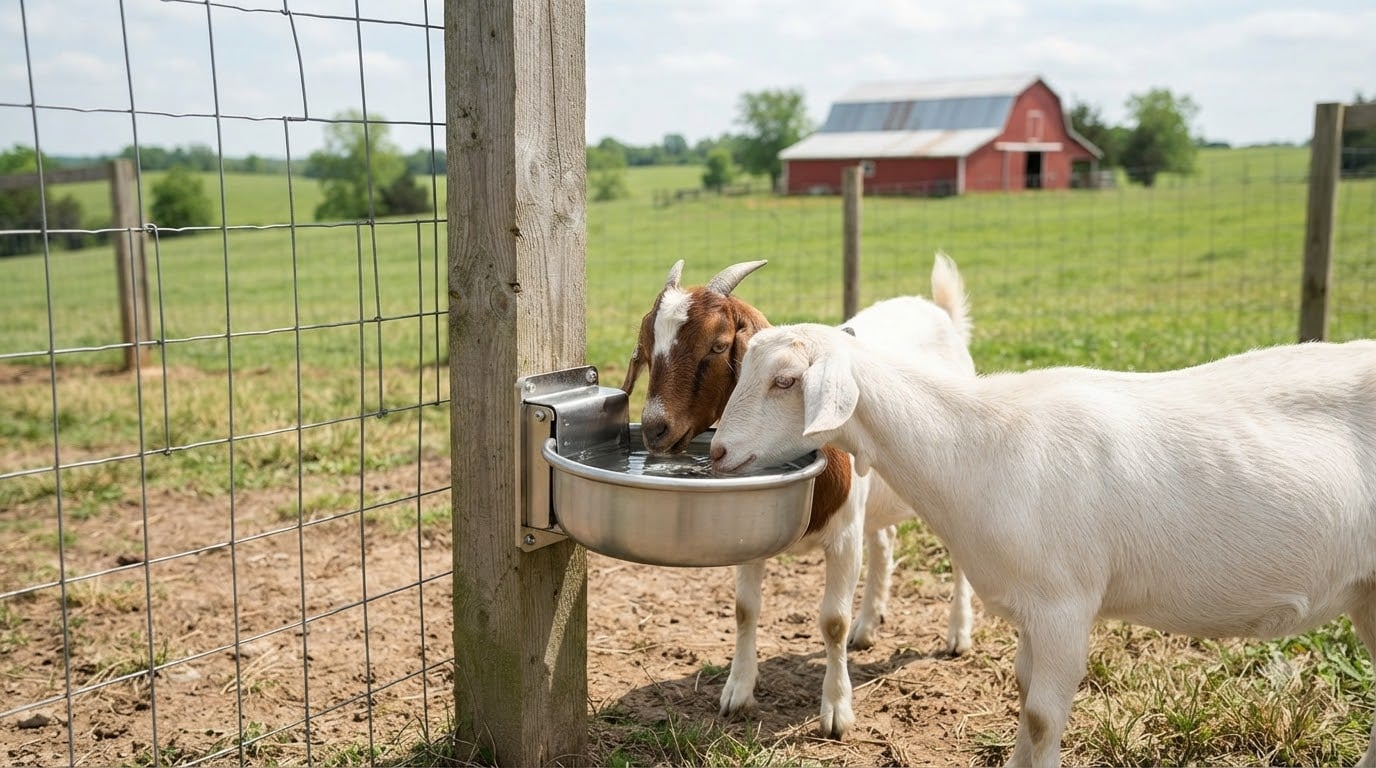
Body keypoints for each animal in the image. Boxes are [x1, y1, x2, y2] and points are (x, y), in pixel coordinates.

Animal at [621, 254, 977, 739]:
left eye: (717, 345)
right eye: (645, 343)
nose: (656, 428)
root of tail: (939, 312)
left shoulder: (843, 538)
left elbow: (832, 621)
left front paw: (837, 712)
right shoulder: (748, 529)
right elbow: (745, 609)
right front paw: (737, 692)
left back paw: (958, 635)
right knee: (883, 541)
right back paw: (868, 626)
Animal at [710, 324, 1376, 767]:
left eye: (786, 380)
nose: (715, 452)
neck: (978, 443)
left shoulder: (1065, 606)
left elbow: (1042, 714)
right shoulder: (1031, 607)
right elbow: (1025, 698)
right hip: (1368, 595)